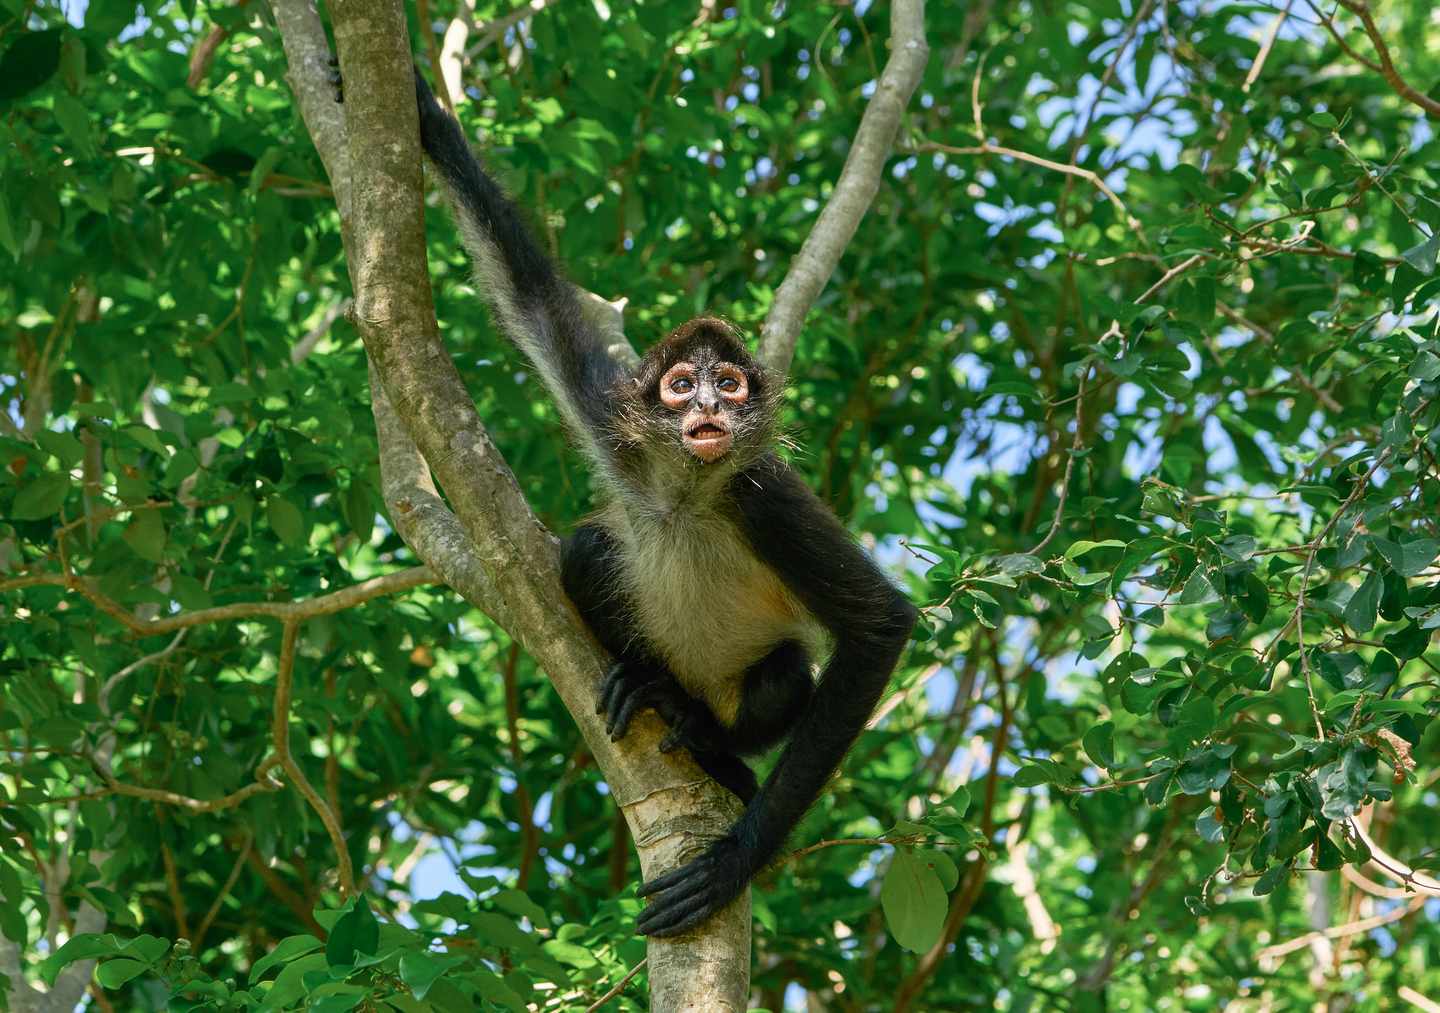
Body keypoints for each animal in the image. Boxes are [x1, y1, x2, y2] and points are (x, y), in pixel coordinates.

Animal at [364, 65, 918, 937]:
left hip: (750, 693)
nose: (712, 409)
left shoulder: (765, 495)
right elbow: (530, 298)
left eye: (730, 385)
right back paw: (651, 684)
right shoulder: (617, 430)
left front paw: (732, 862)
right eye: (682, 385)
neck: (686, 493)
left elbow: (881, 626)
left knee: (783, 673)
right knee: (589, 549)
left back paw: (712, 744)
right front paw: (427, 115)